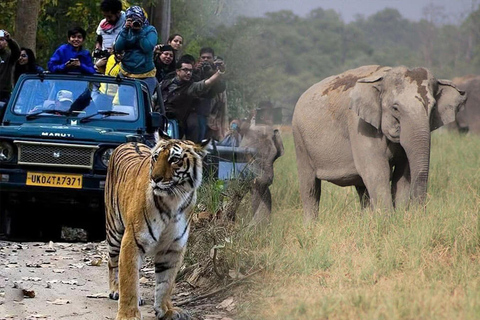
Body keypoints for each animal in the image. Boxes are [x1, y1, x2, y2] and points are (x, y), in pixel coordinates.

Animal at [104, 136, 209, 320]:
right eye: (155, 158)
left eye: (174, 159)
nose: (155, 178)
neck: (173, 200)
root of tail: (130, 142)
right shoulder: (132, 240)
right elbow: (129, 280)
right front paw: (128, 315)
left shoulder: (173, 247)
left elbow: (166, 283)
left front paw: (165, 310)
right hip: (115, 231)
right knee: (113, 263)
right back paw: (115, 290)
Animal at [290, 64, 466, 220]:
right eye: (395, 108)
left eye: (433, 108)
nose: (419, 215)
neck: (383, 77)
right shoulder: (359, 124)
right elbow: (377, 171)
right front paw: (388, 222)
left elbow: (403, 174)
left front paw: (400, 219)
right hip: (300, 140)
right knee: (310, 188)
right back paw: (310, 228)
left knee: (362, 189)